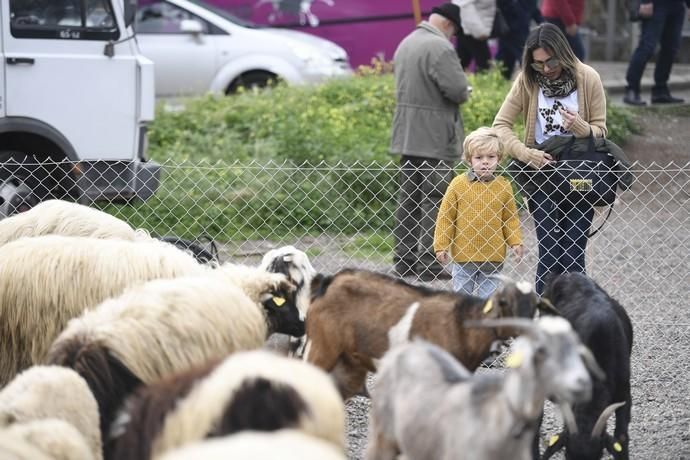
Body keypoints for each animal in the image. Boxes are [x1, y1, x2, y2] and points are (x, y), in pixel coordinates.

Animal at [304, 270, 556, 398]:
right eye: (505, 303)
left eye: (535, 306)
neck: (461, 323)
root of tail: (329, 282)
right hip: (321, 348)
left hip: (349, 365)